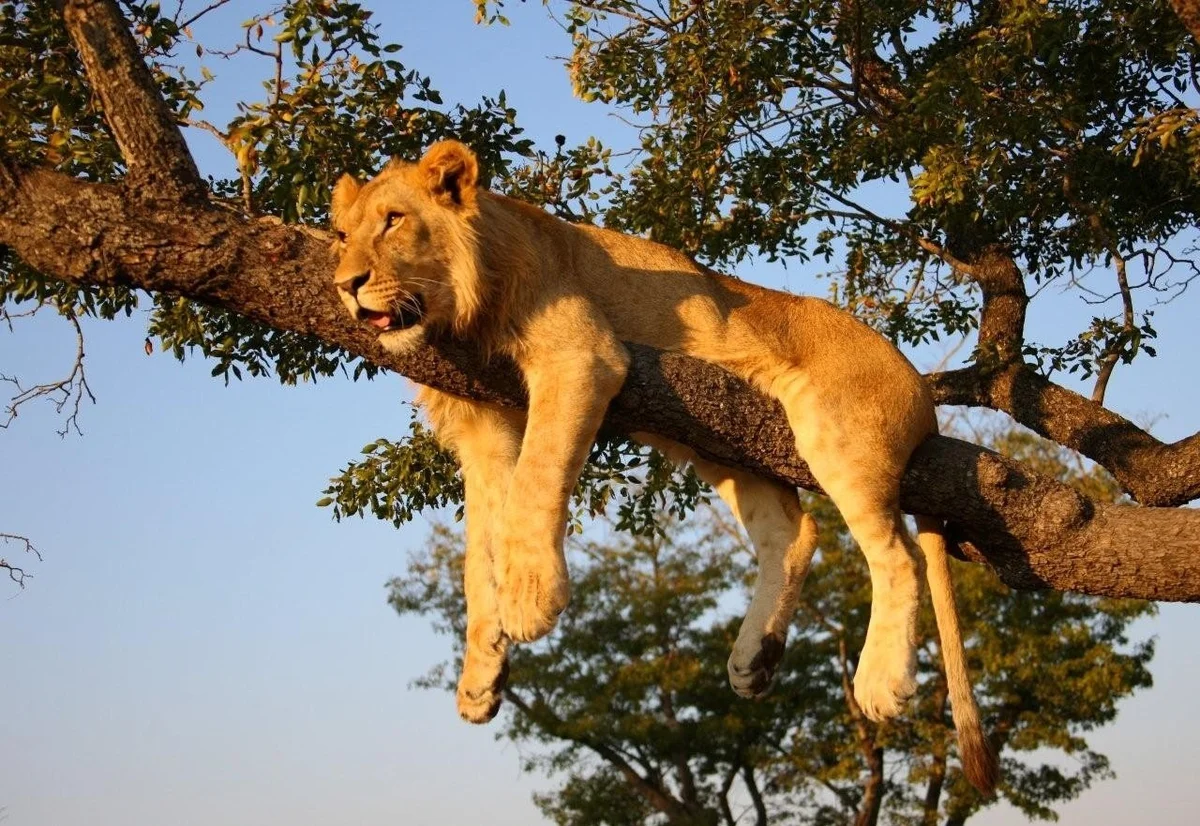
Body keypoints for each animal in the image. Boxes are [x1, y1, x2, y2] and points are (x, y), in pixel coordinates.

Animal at [333, 140, 998, 792]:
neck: (458, 309)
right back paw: (756, 657)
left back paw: (880, 679)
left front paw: (529, 597)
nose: (345, 284)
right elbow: (479, 554)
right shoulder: (482, 428)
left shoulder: (579, 354)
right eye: (342, 235)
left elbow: (534, 483)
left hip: (834, 429)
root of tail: (921, 392)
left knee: (897, 554)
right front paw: (479, 676)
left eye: (394, 221)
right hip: (726, 448)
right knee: (795, 534)